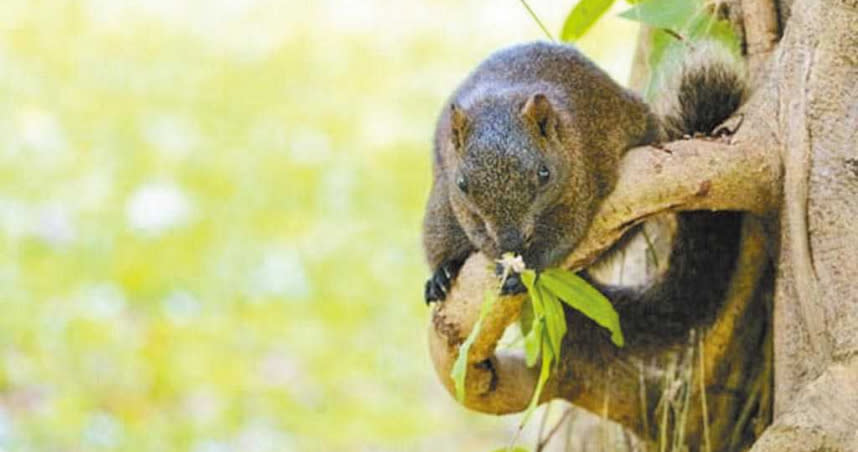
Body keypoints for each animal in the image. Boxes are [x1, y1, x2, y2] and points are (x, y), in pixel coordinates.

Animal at [424, 38, 744, 340]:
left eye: (544, 173)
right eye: (463, 184)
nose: (511, 241)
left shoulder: (579, 184)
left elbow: (565, 233)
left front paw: (525, 265)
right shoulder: (457, 201)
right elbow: (475, 231)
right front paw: (493, 256)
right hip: (440, 207)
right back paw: (443, 273)